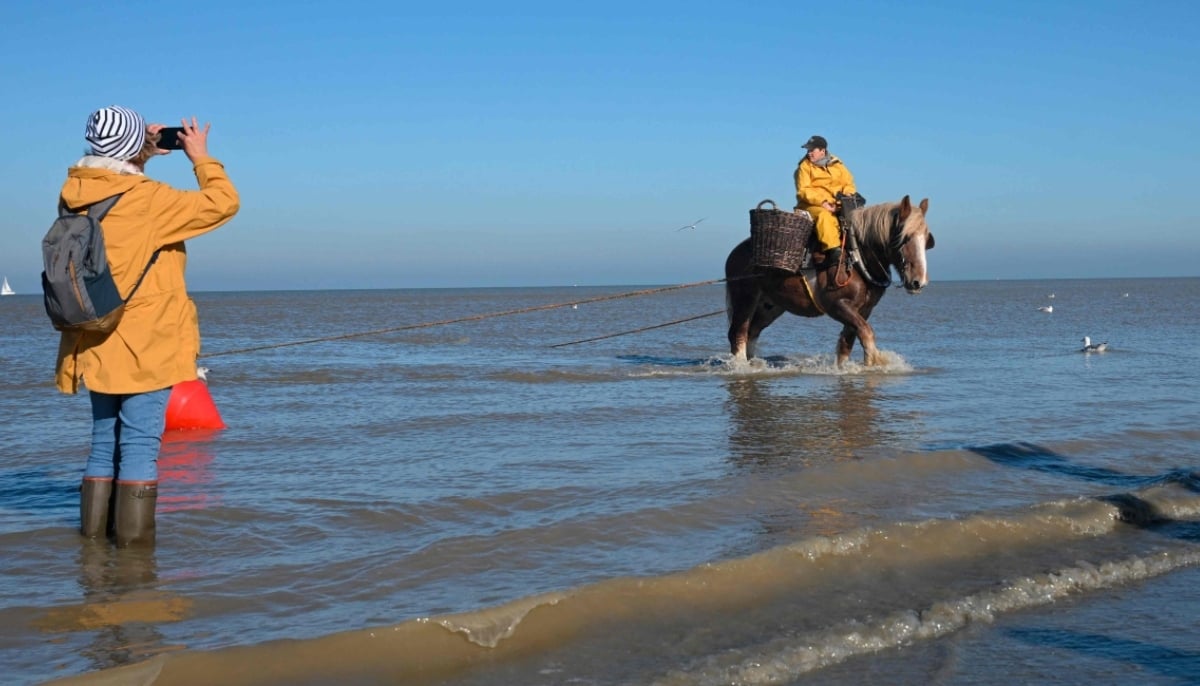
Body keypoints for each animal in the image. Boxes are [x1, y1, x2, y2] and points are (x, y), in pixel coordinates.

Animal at [724, 195, 931, 366]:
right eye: (905, 237)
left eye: (926, 239)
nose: (918, 281)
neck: (856, 256)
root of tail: (735, 252)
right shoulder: (837, 305)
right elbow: (866, 333)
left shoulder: (863, 310)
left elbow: (847, 343)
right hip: (745, 298)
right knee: (739, 333)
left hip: (771, 306)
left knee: (752, 332)